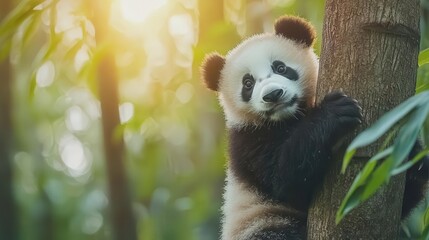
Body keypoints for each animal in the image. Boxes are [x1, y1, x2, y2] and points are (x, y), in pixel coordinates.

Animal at [201, 15, 428, 240]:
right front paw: (334, 112)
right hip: (261, 221)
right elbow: (284, 180)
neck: (291, 117)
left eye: (280, 68)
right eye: (248, 83)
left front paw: (415, 157)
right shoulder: (248, 140)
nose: (273, 95)